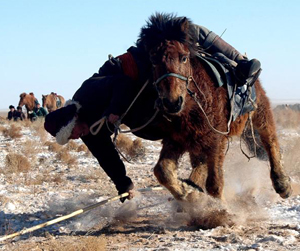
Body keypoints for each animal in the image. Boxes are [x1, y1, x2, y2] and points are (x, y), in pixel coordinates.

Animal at [139, 13, 292, 202]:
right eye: (153, 60)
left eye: (183, 57)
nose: (172, 102)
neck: (194, 104)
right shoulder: (176, 138)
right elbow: (163, 171)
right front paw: (188, 190)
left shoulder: (216, 138)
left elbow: (215, 184)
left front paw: (219, 209)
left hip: (260, 111)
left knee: (270, 140)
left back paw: (282, 185)